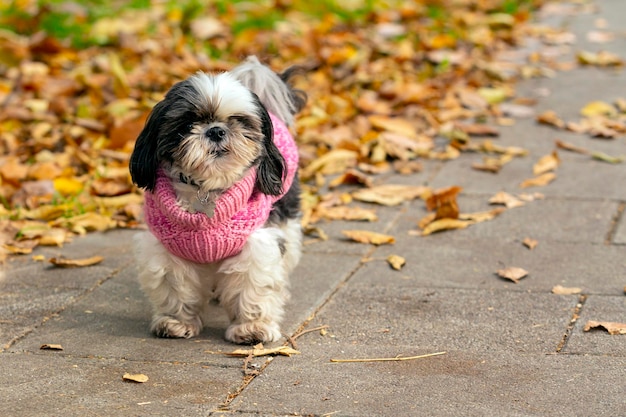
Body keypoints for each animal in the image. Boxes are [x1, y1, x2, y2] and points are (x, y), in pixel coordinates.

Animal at [130, 56, 306, 342]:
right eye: (187, 124)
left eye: (239, 120)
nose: (215, 130)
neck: (206, 189)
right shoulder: (167, 249)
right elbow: (176, 287)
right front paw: (176, 321)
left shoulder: (256, 245)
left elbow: (253, 287)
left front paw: (251, 327)